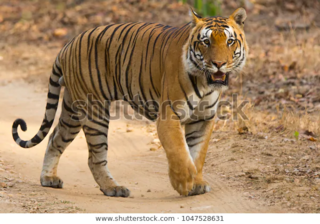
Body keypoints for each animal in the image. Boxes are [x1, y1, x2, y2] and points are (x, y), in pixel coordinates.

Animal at [11, 7, 248, 196]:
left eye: (229, 41)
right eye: (206, 42)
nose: (219, 64)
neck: (205, 82)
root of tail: (68, 44)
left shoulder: (203, 119)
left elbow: (197, 154)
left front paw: (196, 183)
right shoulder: (168, 115)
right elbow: (179, 150)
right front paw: (183, 182)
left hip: (73, 110)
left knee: (54, 139)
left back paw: (48, 179)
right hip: (94, 109)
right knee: (94, 158)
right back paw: (113, 188)